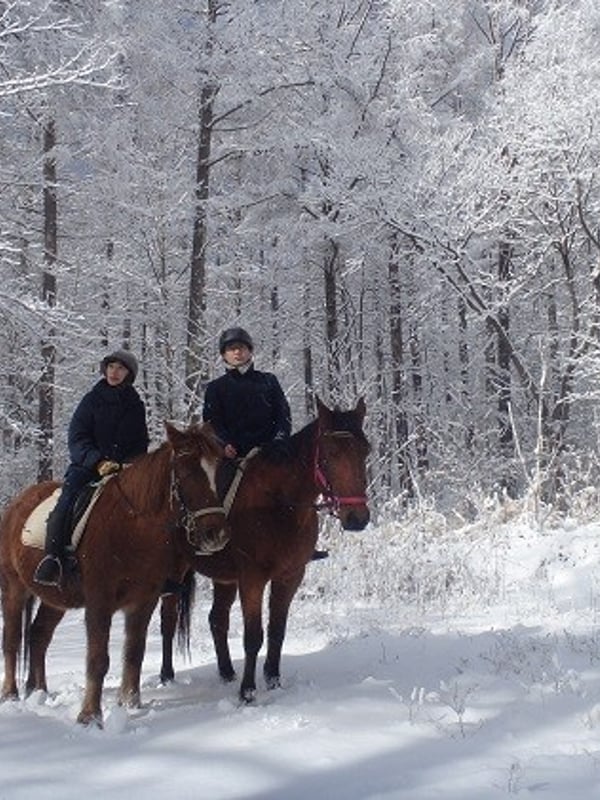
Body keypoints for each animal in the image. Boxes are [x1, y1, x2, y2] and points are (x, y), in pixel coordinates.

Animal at [0, 421, 229, 726]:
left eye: (218, 470)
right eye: (188, 471)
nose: (217, 534)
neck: (132, 525)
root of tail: (16, 505)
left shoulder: (144, 602)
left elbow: (134, 653)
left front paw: (130, 705)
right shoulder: (100, 601)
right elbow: (98, 658)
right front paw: (90, 716)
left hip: (56, 599)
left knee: (39, 635)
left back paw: (39, 691)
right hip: (13, 589)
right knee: (12, 640)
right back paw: (11, 695)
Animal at [160, 397, 371, 702]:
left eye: (366, 450)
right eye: (329, 453)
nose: (357, 518)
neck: (279, 504)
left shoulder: (290, 577)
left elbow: (276, 631)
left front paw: (273, 680)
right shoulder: (252, 579)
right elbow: (253, 636)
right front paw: (247, 691)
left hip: (224, 579)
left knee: (217, 619)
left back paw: (226, 672)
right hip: (174, 571)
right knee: (168, 619)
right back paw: (167, 676)